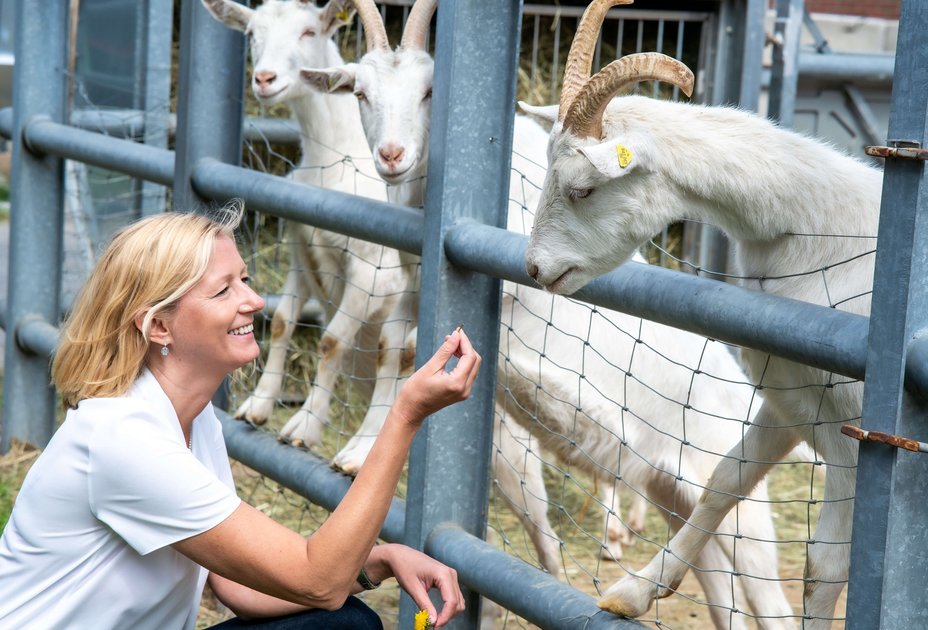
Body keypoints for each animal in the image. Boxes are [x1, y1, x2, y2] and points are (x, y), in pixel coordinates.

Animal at [203, 0, 410, 450]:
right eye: (251, 34)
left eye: (309, 32)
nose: (264, 79)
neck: (334, 157)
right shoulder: (302, 251)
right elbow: (282, 322)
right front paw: (259, 406)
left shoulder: (373, 274)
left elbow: (331, 341)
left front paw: (304, 426)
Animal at [300, 3, 792, 628]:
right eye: (360, 92)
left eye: (431, 89)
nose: (392, 157)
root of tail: (746, 390)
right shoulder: (408, 288)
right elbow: (393, 343)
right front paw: (356, 450)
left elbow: (412, 346)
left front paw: (353, 448)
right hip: (671, 489)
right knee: (714, 583)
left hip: (735, 498)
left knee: (768, 598)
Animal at [524, 0, 880, 628]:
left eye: (584, 189)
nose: (536, 268)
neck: (830, 236)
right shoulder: (791, 403)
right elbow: (723, 482)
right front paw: (634, 592)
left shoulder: (855, 441)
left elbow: (826, 565)